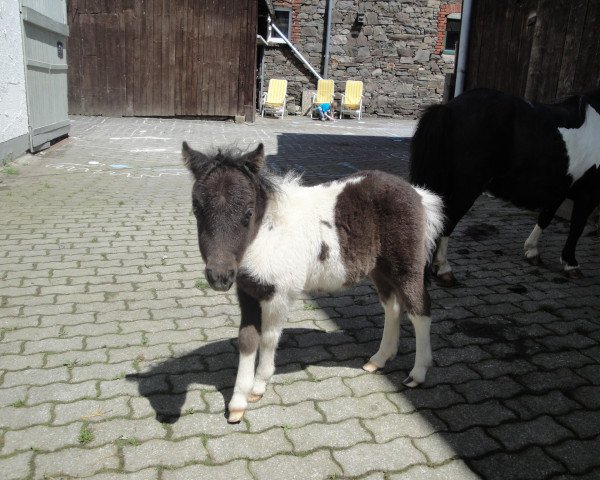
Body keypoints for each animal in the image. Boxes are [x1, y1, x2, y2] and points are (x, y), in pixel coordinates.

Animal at [180, 141, 442, 422]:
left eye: (248, 212)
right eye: (196, 208)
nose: (219, 276)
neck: (266, 234)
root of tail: (418, 194)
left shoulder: (278, 295)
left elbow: (269, 338)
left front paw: (258, 386)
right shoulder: (247, 291)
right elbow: (247, 340)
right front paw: (238, 403)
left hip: (406, 267)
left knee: (420, 310)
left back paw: (417, 373)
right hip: (380, 270)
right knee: (392, 308)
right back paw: (379, 359)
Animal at [410, 87, 600, 284]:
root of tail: (449, 109)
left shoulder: (560, 190)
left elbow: (545, 218)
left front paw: (532, 251)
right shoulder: (589, 195)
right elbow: (576, 227)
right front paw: (571, 263)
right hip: (468, 189)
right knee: (448, 219)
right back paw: (443, 268)